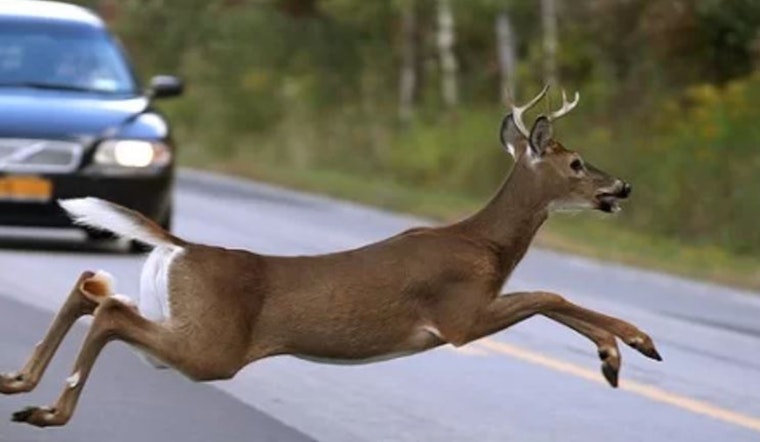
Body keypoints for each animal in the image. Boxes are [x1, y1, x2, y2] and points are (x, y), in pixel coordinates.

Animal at [1, 85, 661, 427]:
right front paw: (627, 346)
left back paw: (19, 383)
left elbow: (550, 296)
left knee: (93, 288)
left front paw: (619, 352)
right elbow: (550, 293)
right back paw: (49, 411)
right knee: (109, 310)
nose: (623, 187)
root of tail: (182, 246)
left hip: (180, 323)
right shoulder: (459, 315)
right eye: (575, 163)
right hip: (211, 347)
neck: (486, 246)